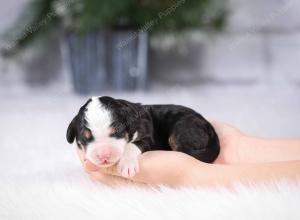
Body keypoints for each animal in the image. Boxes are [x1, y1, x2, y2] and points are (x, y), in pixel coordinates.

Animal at [66, 96, 220, 177]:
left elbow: (131, 146)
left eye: (117, 131)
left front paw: (127, 165)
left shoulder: (147, 136)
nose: (104, 155)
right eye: (85, 137)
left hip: (184, 128)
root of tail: (208, 125)